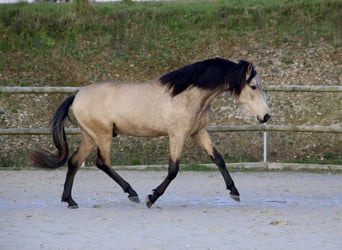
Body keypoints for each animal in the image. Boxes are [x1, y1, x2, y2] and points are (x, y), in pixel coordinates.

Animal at [32, 57, 272, 208]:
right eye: (253, 87)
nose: (266, 116)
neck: (188, 95)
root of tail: (78, 94)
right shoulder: (177, 135)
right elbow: (173, 169)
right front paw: (152, 198)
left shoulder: (199, 132)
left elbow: (218, 159)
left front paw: (234, 192)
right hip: (102, 135)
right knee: (102, 163)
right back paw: (132, 194)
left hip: (90, 136)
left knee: (74, 162)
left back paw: (70, 201)